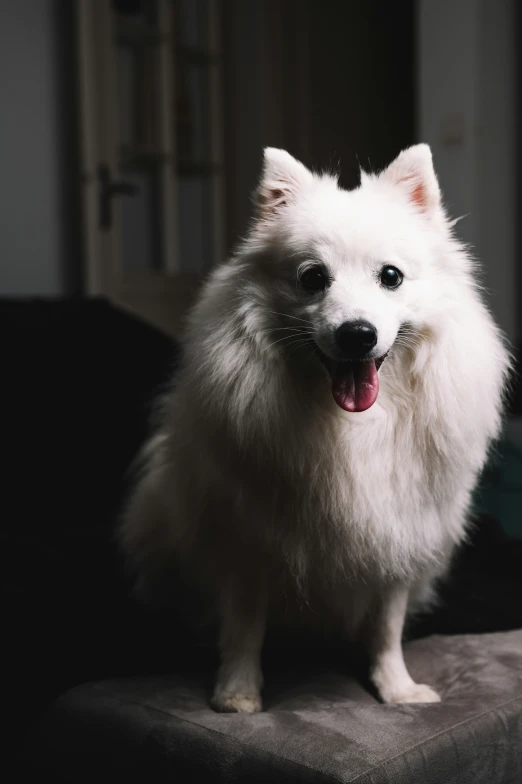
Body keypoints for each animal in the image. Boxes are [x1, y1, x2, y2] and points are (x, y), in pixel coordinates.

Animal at [119, 144, 508, 712]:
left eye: (391, 277)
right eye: (312, 278)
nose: (357, 334)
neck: (355, 425)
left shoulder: (398, 537)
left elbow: (387, 627)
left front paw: (396, 689)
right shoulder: (247, 539)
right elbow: (244, 626)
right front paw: (237, 694)